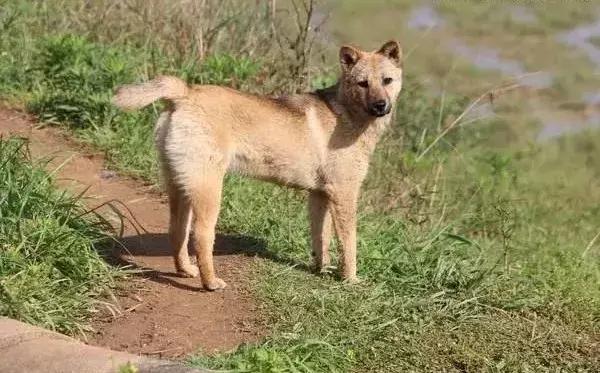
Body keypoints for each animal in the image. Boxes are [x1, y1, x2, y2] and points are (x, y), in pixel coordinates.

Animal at [112, 41, 404, 290]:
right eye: (363, 83)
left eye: (387, 80)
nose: (381, 105)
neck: (346, 112)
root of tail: (184, 94)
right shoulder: (344, 194)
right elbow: (349, 243)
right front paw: (351, 279)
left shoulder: (320, 196)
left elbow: (321, 238)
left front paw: (322, 270)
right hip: (208, 190)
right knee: (201, 236)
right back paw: (211, 282)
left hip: (179, 185)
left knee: (177, 231)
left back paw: (186, 270)